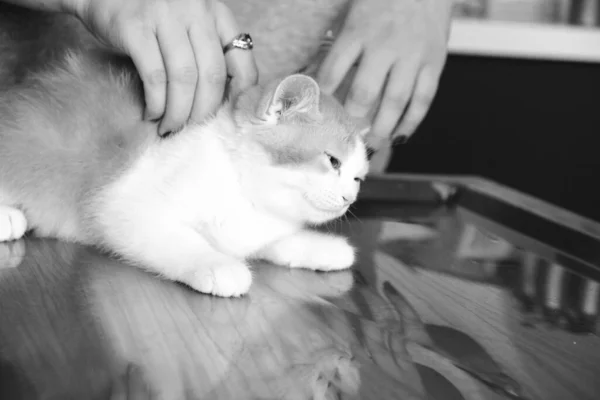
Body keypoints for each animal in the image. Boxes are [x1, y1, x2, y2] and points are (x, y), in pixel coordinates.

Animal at [0, 50, 370, 296]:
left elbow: (266, 242)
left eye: (358, 177)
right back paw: (8, 218)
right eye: (333, 161)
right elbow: (173, 238)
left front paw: (319, 246)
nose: (348, 198)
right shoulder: (121, 202)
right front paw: (216, 264)